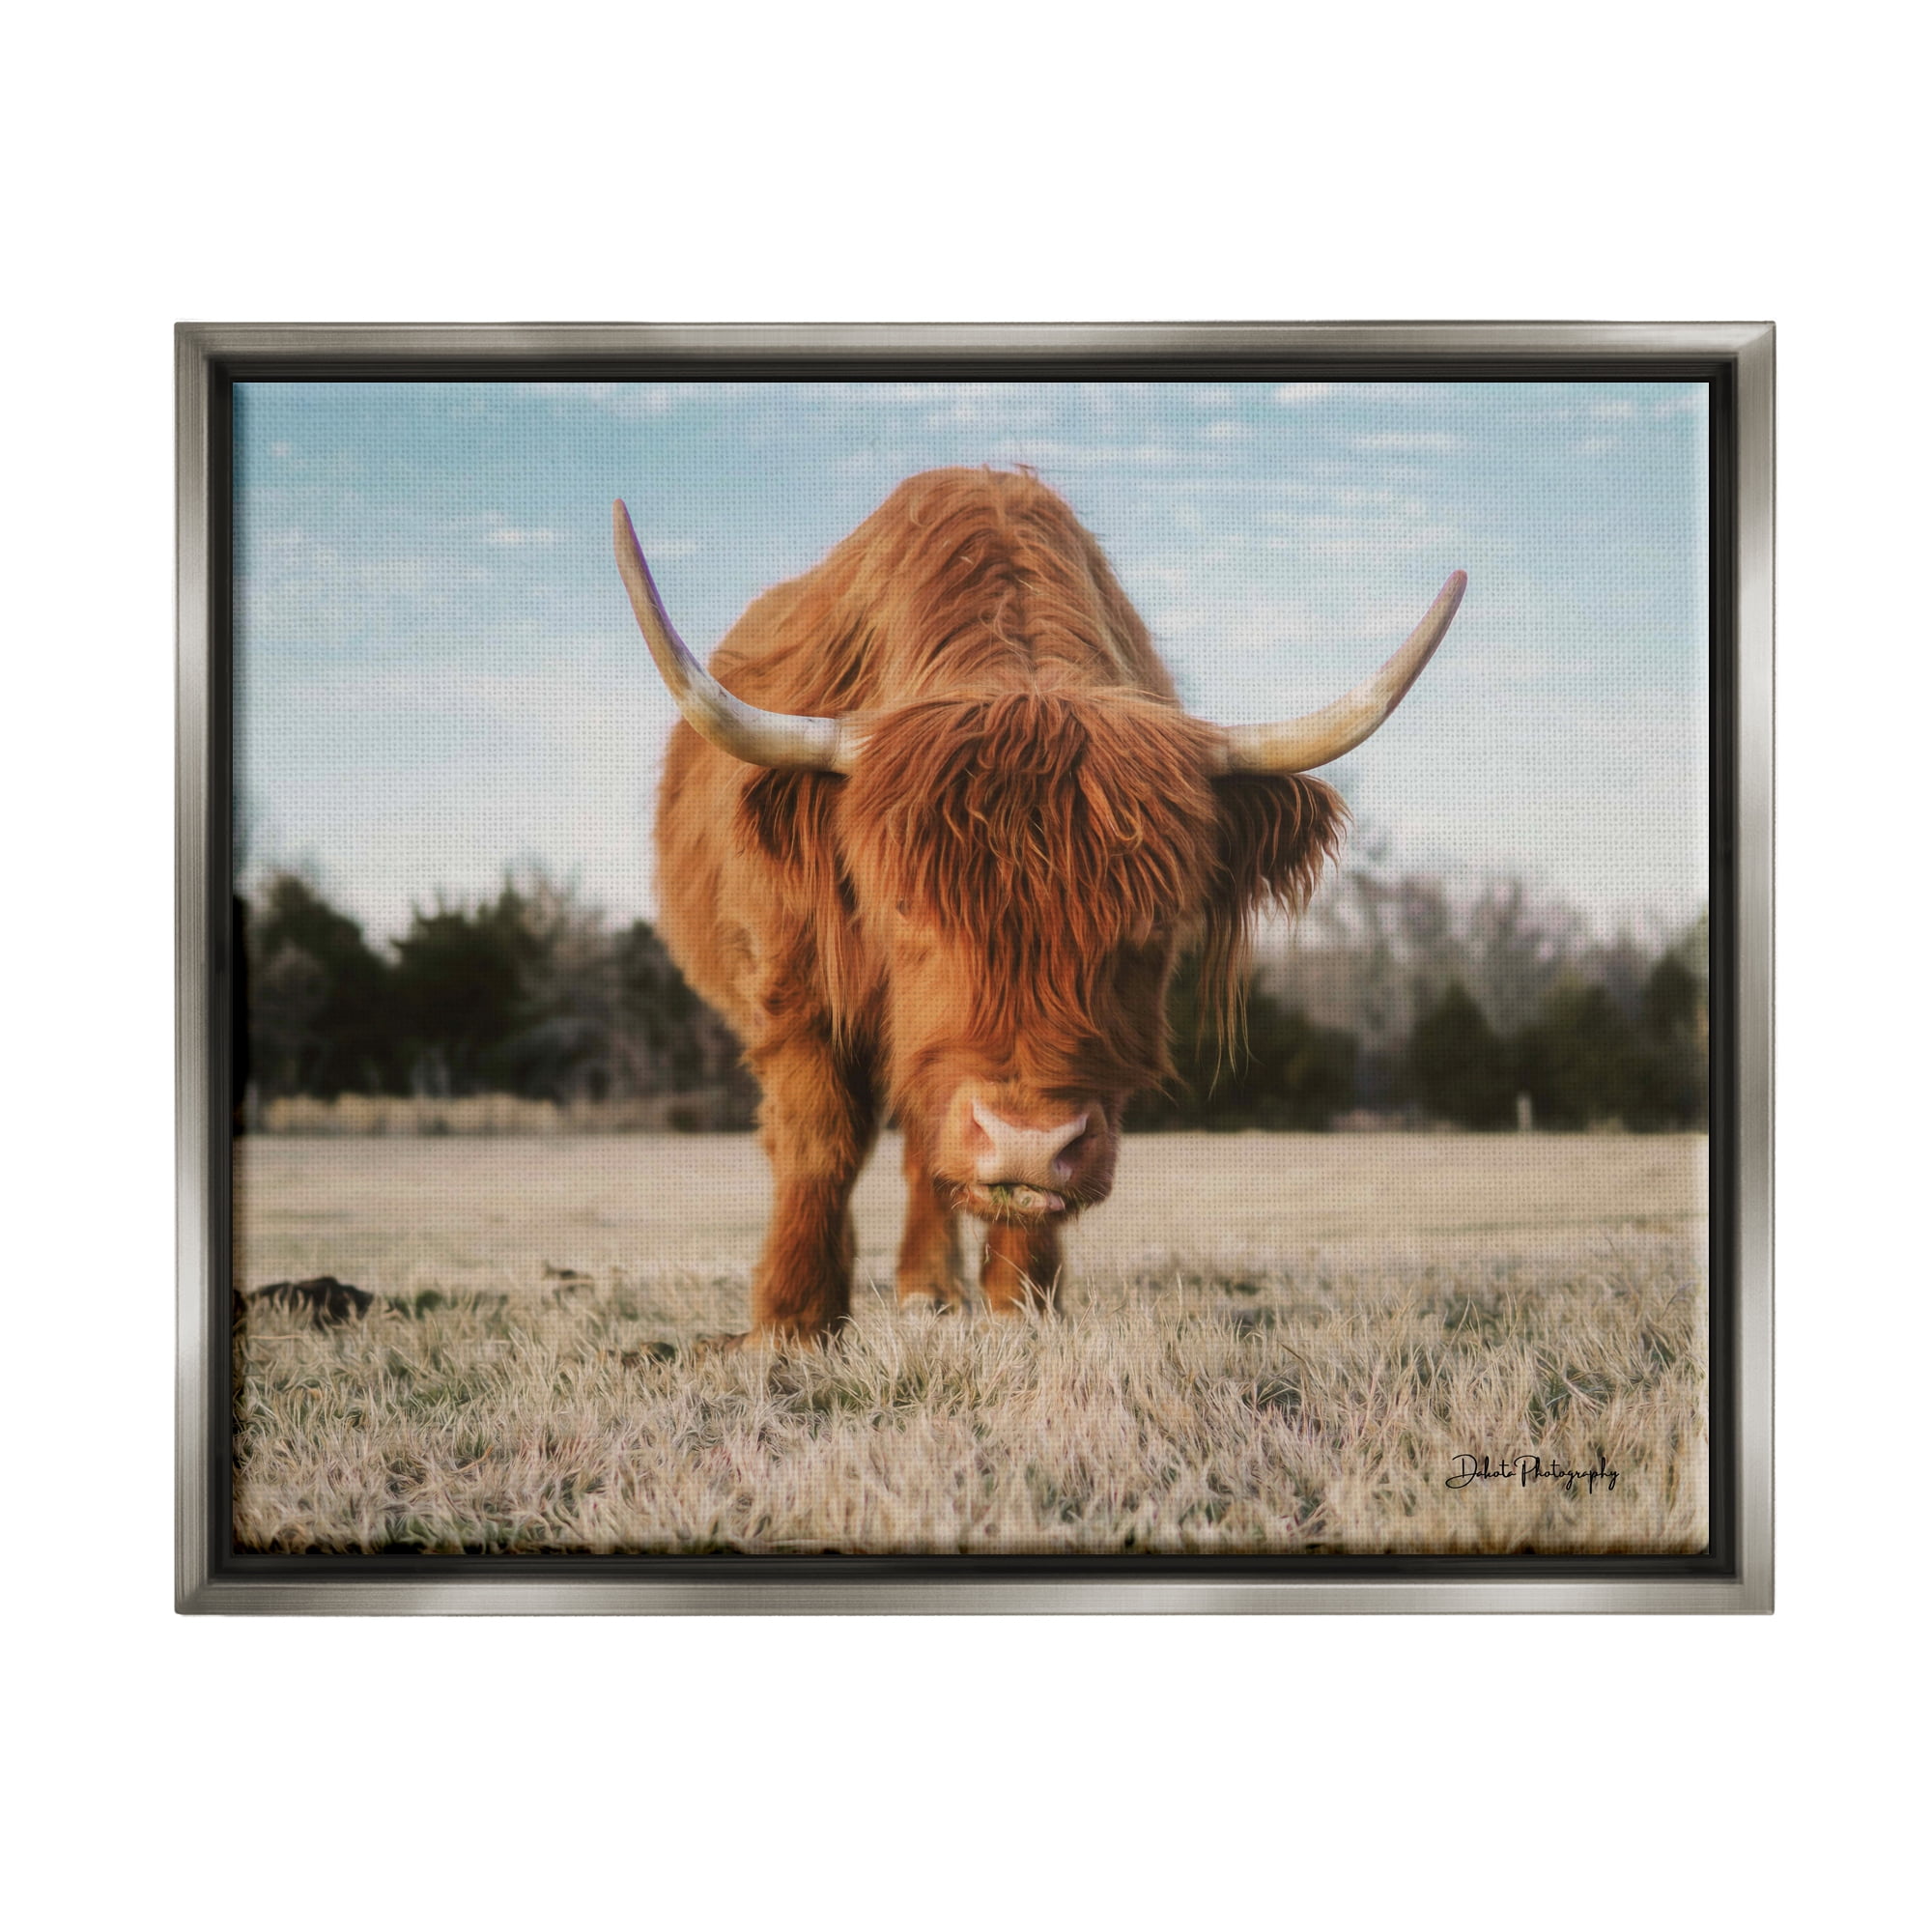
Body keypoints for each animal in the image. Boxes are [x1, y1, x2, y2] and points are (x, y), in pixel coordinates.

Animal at [615, 469, 1464, 1345]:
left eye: (1156, 920)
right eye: (904, 902)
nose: (1027, 1143)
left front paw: (1020, 1301)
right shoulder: (794, 985)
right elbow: (821, 1136)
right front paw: (792, 1318)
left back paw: (930, 1287)